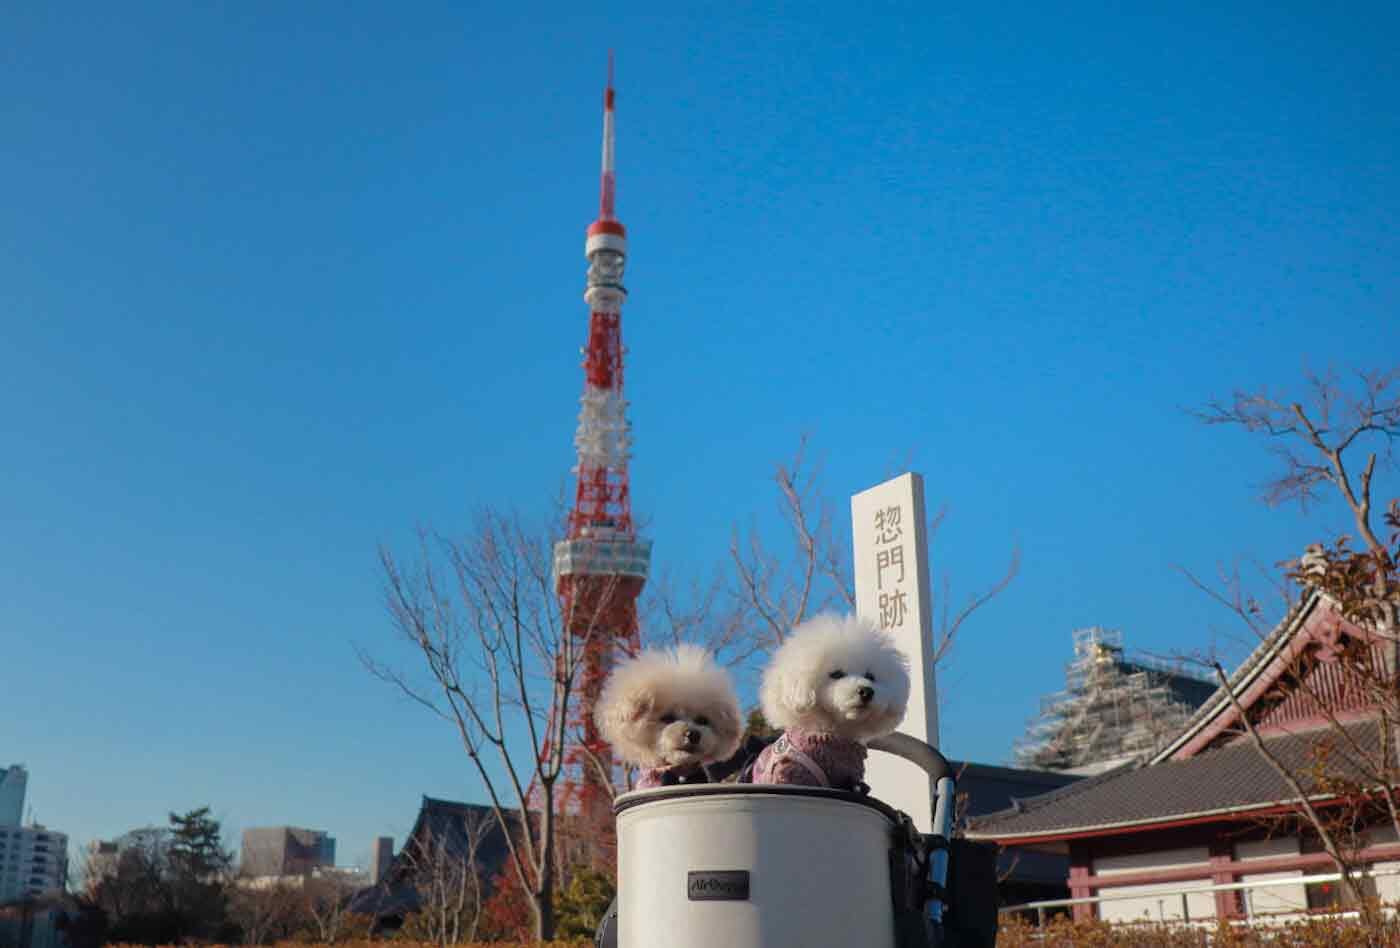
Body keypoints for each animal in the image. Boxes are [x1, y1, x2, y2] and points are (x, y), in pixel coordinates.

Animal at [750, 610, 912, 789]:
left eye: (870, 676)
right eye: (836, 674)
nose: (866, 691)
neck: (832, 733)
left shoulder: (849, 778)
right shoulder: (793, 773)